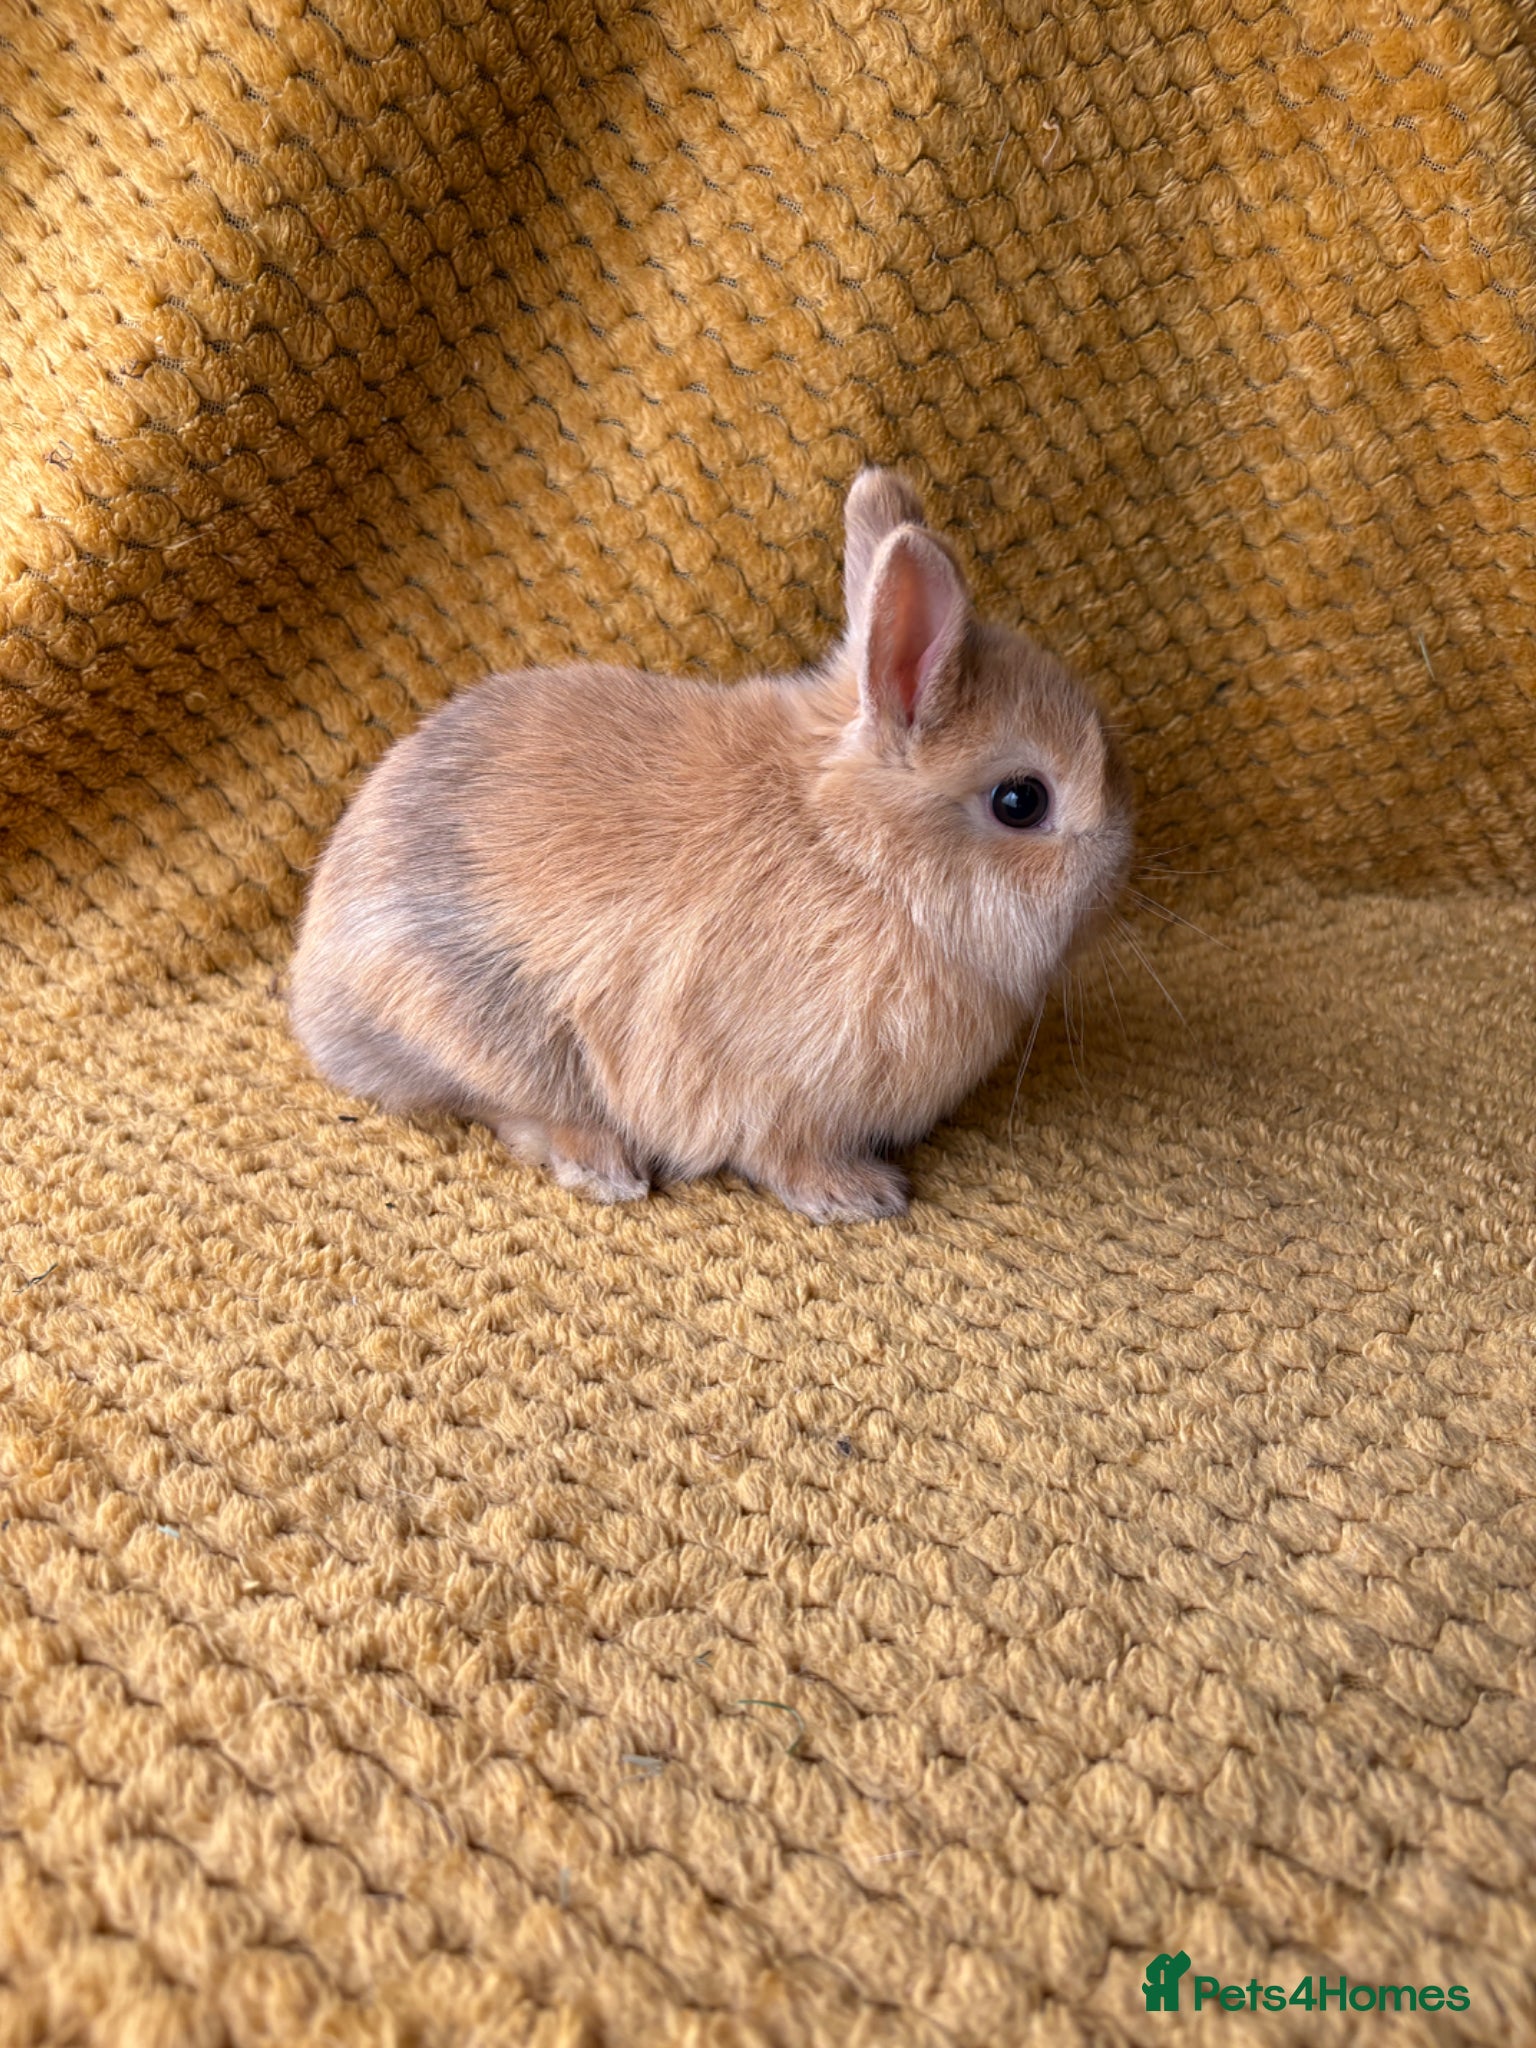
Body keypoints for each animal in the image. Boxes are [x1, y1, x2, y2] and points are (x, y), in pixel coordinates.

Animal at [288, 467, 1133, 1222]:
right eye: (1021, 802)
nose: (1120, 868)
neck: (860, 857)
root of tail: (316, 984)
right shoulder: (781, 1089)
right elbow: (784, 1156)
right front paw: (859, 1197)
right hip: (500, 1036)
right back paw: (608, 1172)